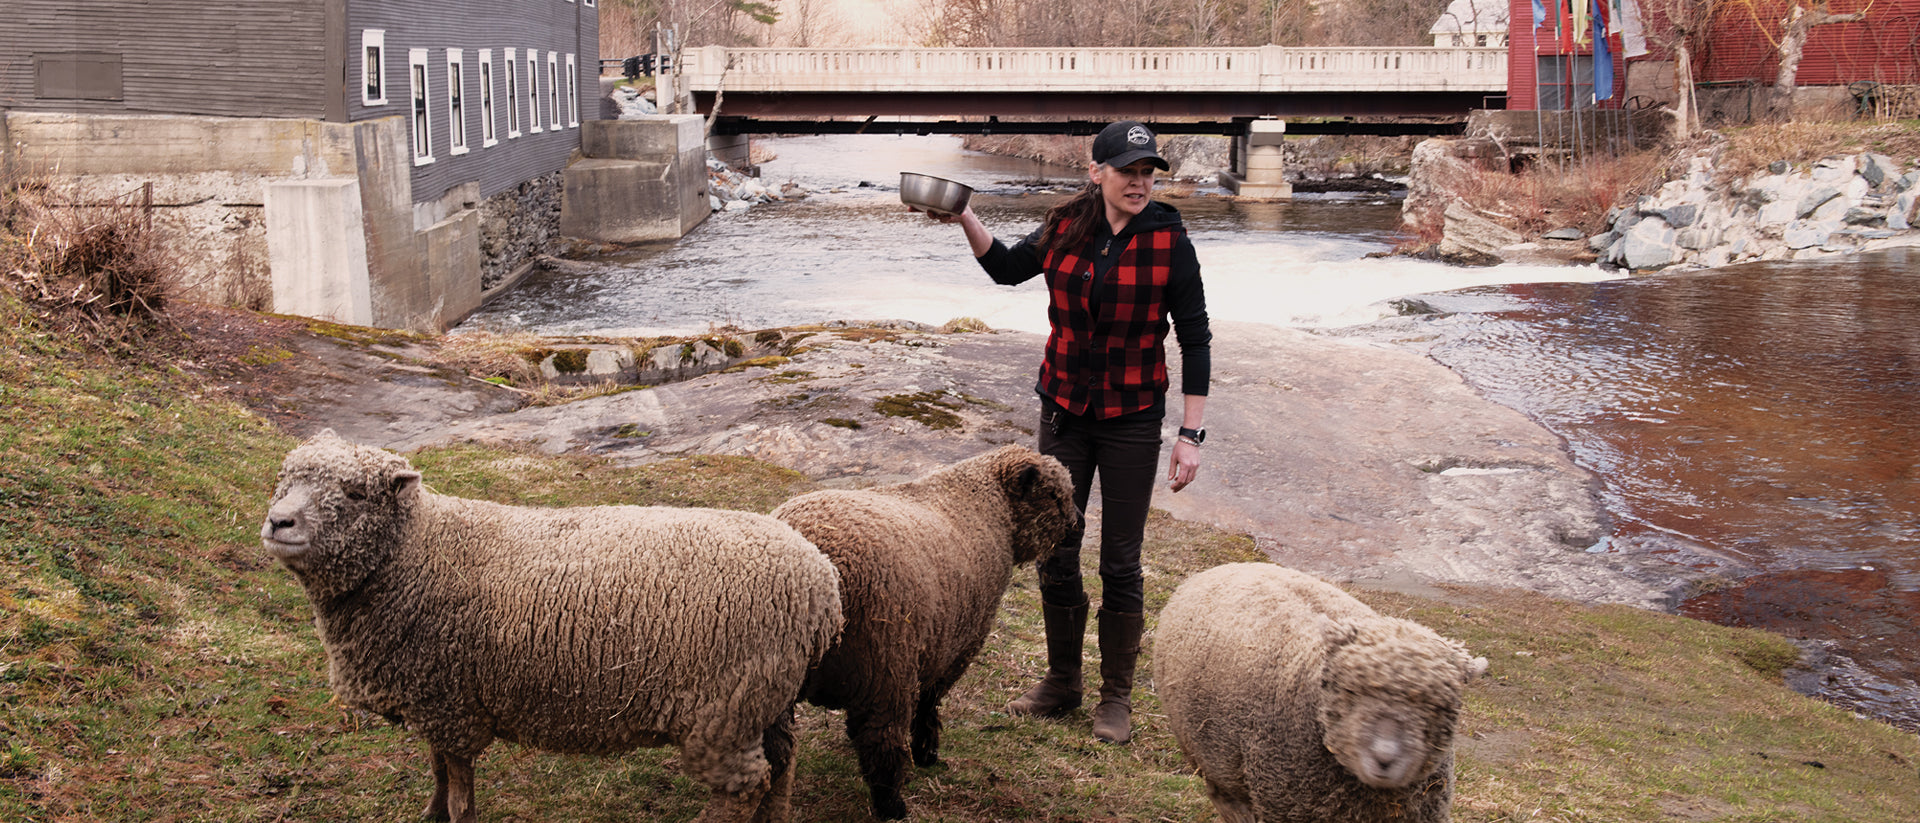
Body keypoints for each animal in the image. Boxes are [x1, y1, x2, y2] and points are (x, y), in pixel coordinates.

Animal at [259, 430, 844, 823]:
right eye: (284, 481)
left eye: (356, 494)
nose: (277, 522)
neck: (417, 551)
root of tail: (822, 585)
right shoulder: (432, 698)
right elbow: (438, 769)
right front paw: (430, 813)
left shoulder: (452, 704)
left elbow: (459, 784)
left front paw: (452, 815)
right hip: (765, 698)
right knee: (782, 764)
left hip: (725, 710)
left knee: (744, 788)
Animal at [770, 444, 1080, 820]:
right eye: (1054, 495)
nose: (1078, 525)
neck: (986, 503)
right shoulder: (956, 643)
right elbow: (930, 700)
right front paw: (927, 751)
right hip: (884, 667)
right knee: (881, 740)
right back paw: (892, 805)